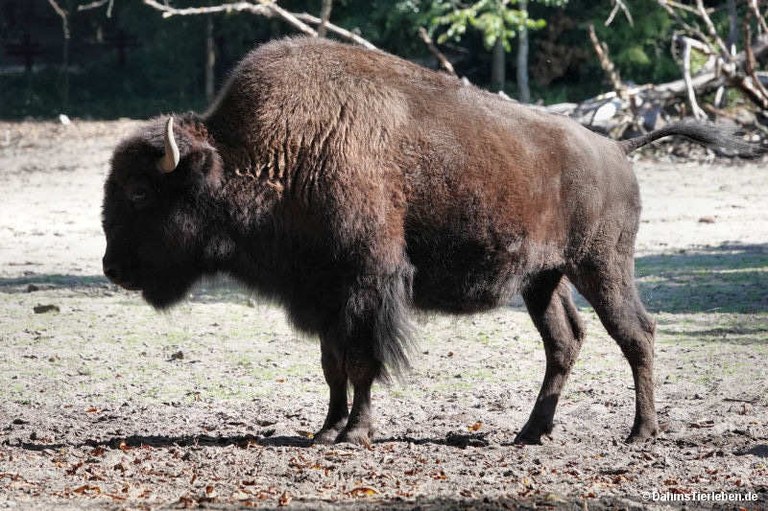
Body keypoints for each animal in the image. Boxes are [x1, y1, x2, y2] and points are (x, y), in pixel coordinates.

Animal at [102, 37, 759, 446]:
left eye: (139, 192)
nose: (112, 267)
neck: (270, 152)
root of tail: (616, 146)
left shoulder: (368, 286)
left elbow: (362, 362)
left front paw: (355, 433)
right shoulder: (325, 295)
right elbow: (332, 365)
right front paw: (326, 430)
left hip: (601, 266)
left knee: (636, 334)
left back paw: (641, 433)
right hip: (542, 280)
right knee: (565, 342)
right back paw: (530, 433)